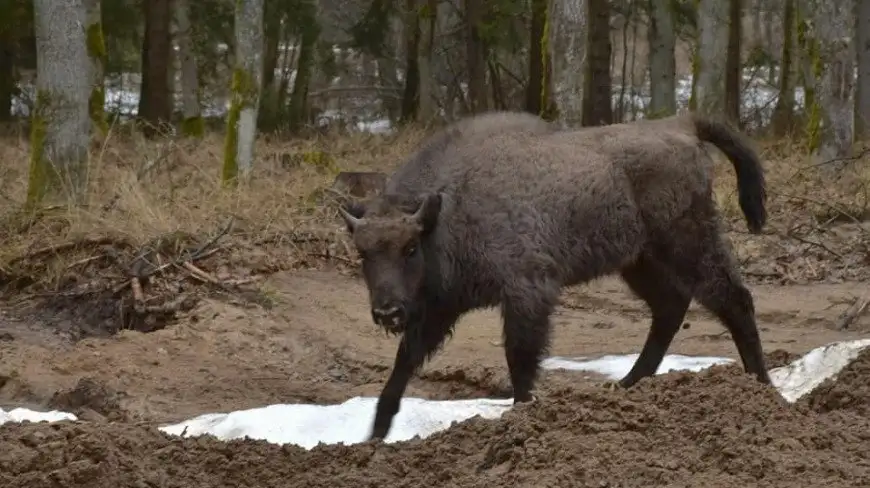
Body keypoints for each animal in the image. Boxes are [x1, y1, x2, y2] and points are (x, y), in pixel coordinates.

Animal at [338, 112, 772, 440]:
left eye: (410, 248)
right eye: (363, 252)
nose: (387, 312)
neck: (448, 209)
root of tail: (682, 123)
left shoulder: (527, 292)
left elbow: (520, 361)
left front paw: (521, 417)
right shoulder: (440, 308)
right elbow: (405, 360)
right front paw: (375, 434)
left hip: (688, 244)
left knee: (734, 299)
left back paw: (763, 388)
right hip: (639, 261)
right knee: (670, 307)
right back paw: (626, 385)